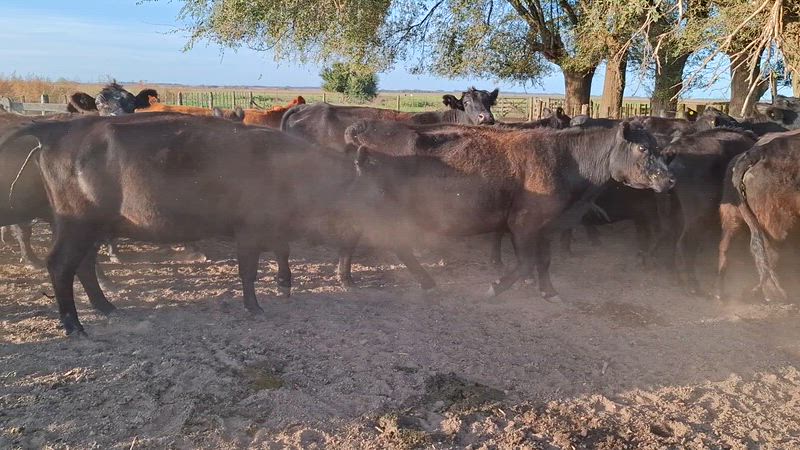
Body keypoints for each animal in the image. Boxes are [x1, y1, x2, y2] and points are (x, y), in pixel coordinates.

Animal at [342, 120, 675, 299]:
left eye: (661, 149)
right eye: (642, 148)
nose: (670, 180)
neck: (565, 158)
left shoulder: (546, 227)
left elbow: (544, 261)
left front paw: (549, 292)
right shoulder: (523, 224)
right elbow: (526, 263)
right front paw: (494, 288)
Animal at [716, 129, 800, 303]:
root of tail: (758, 152)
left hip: (733, 216)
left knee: (727, 245)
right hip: (781, 226)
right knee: (772, 254)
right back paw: (777, 293)